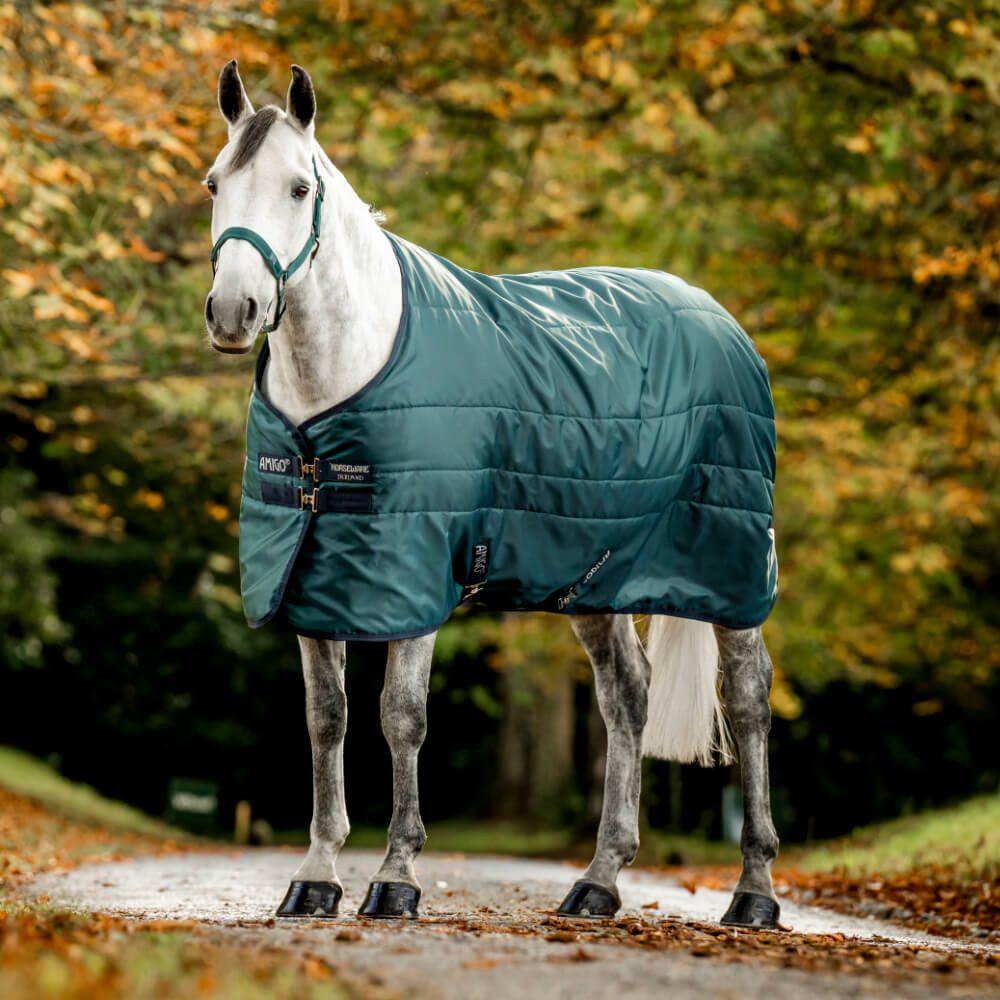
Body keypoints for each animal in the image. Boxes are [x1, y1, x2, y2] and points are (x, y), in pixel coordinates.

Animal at [204, 61, 781, 929]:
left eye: (300, 188)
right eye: (215, 184)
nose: (234, 312)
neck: (345, 375)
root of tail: (718, 318)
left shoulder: (414, 573)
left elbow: (400, 717)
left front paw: (396, 878)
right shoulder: (311, 578)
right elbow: (327, 719)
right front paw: (315, 877)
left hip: (730, 563)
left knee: (747, 700)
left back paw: (753, 893)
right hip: (596, 578)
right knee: (628, 697)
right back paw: (598, 883)